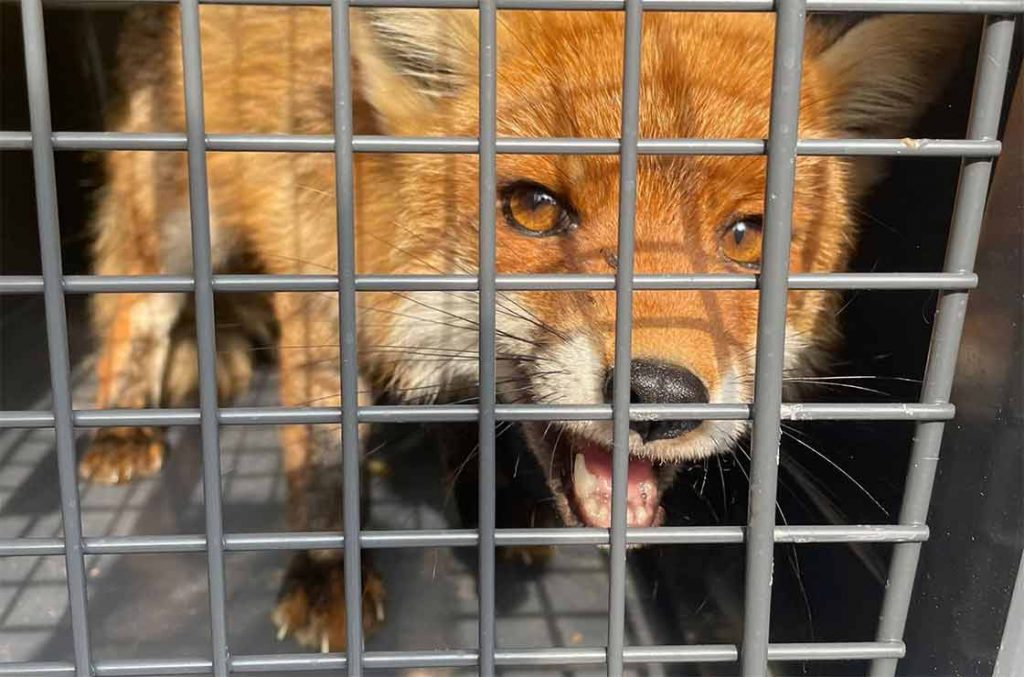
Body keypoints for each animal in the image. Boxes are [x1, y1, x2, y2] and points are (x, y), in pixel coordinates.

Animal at [79, 5, 979, 652]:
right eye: (535, 207)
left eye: (747, 234)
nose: (660, 396)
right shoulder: (317, 297)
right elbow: (323, 463)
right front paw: (328, 573)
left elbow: (478, 431)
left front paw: (495, 511)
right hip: (167, 223)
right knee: (131, 315)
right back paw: (120, 426)